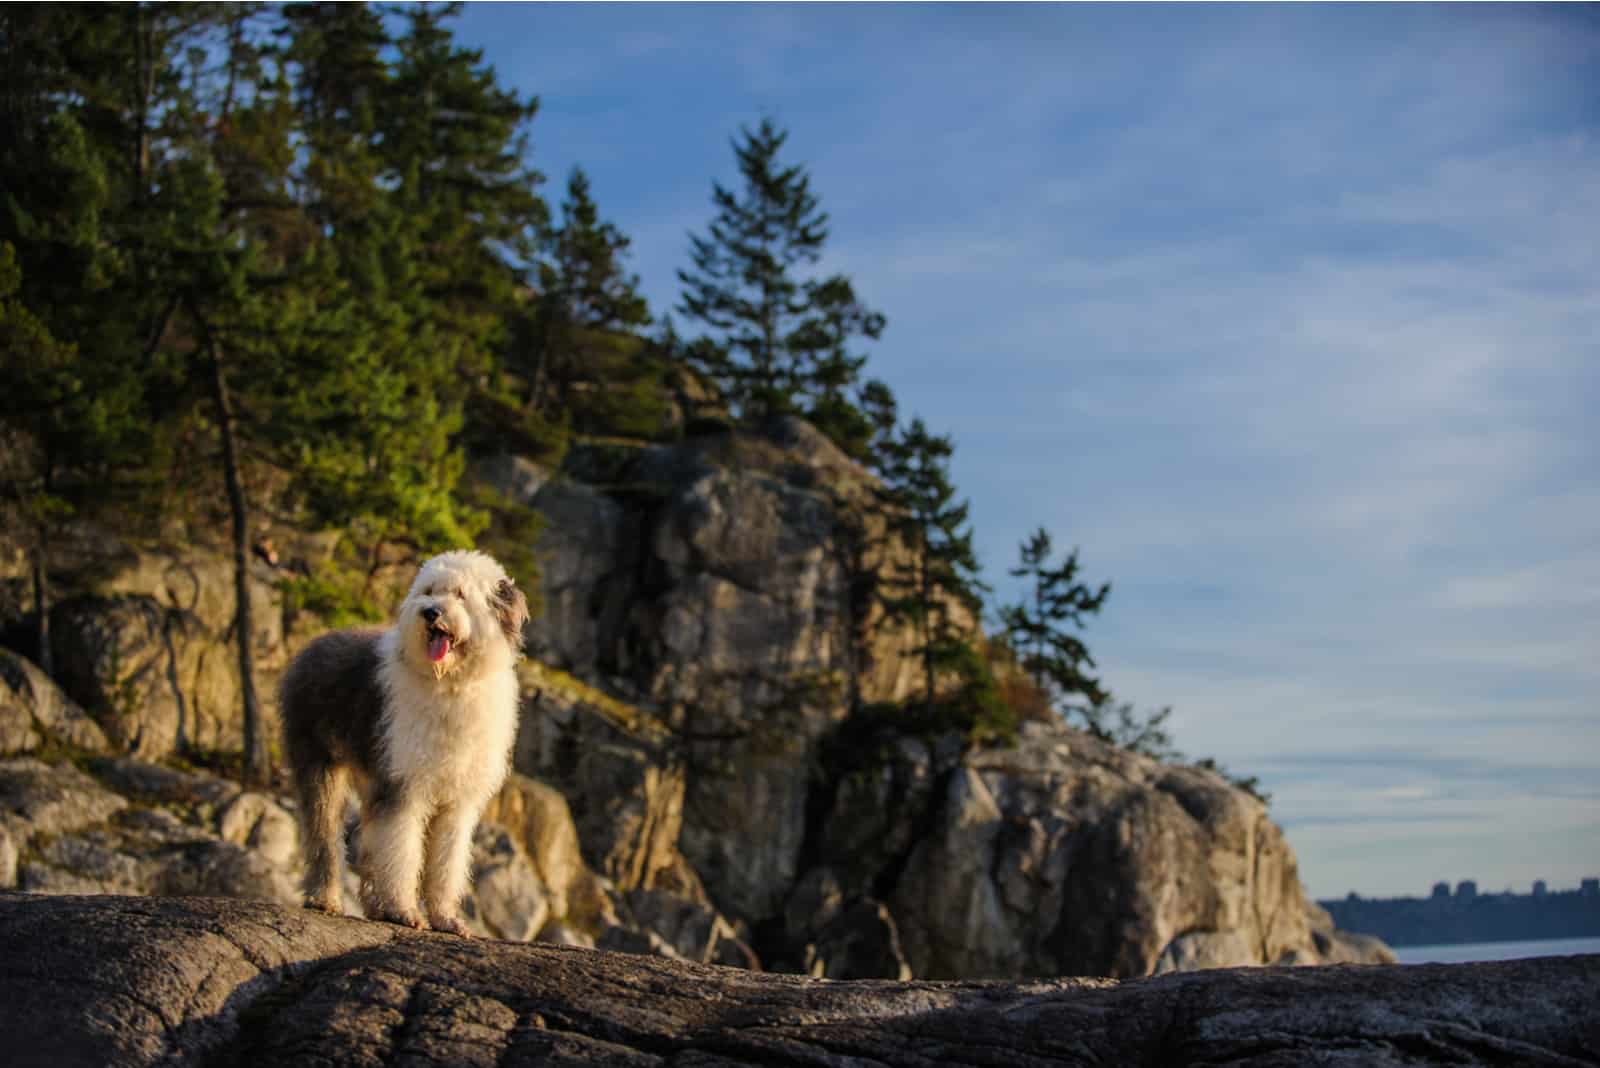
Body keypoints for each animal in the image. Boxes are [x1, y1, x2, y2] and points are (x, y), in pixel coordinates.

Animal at [283, 549, 531, 933]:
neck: (451, 684)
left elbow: (446, 862)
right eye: (428, 590)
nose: (430, 612)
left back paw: (373, 906)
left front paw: (446, 919)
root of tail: (314, 643)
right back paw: (325, 898)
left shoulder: (456, 802)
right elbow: (401, 851)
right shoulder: (405, 785)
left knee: (370, 843)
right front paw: (403, 911)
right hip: (319, 761)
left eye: (460, 594)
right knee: (323, 834)